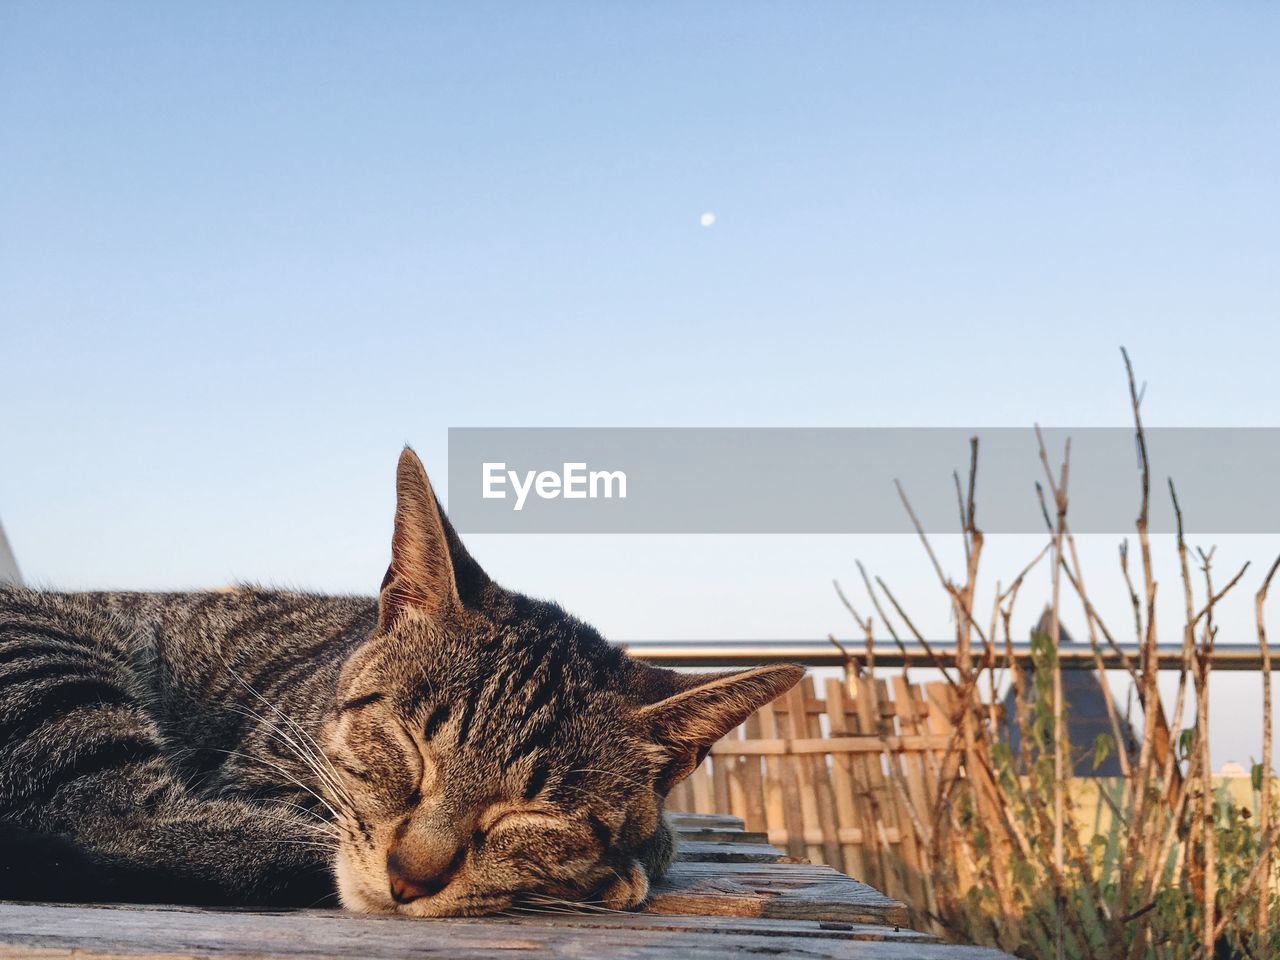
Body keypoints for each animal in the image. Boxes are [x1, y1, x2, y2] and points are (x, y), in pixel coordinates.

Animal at [0, 450, 798, 916]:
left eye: (535, 812)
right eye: (408, 745)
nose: (409, 880)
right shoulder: (263, 775)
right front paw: (610, 869)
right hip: (54, 664)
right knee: (110, 823)